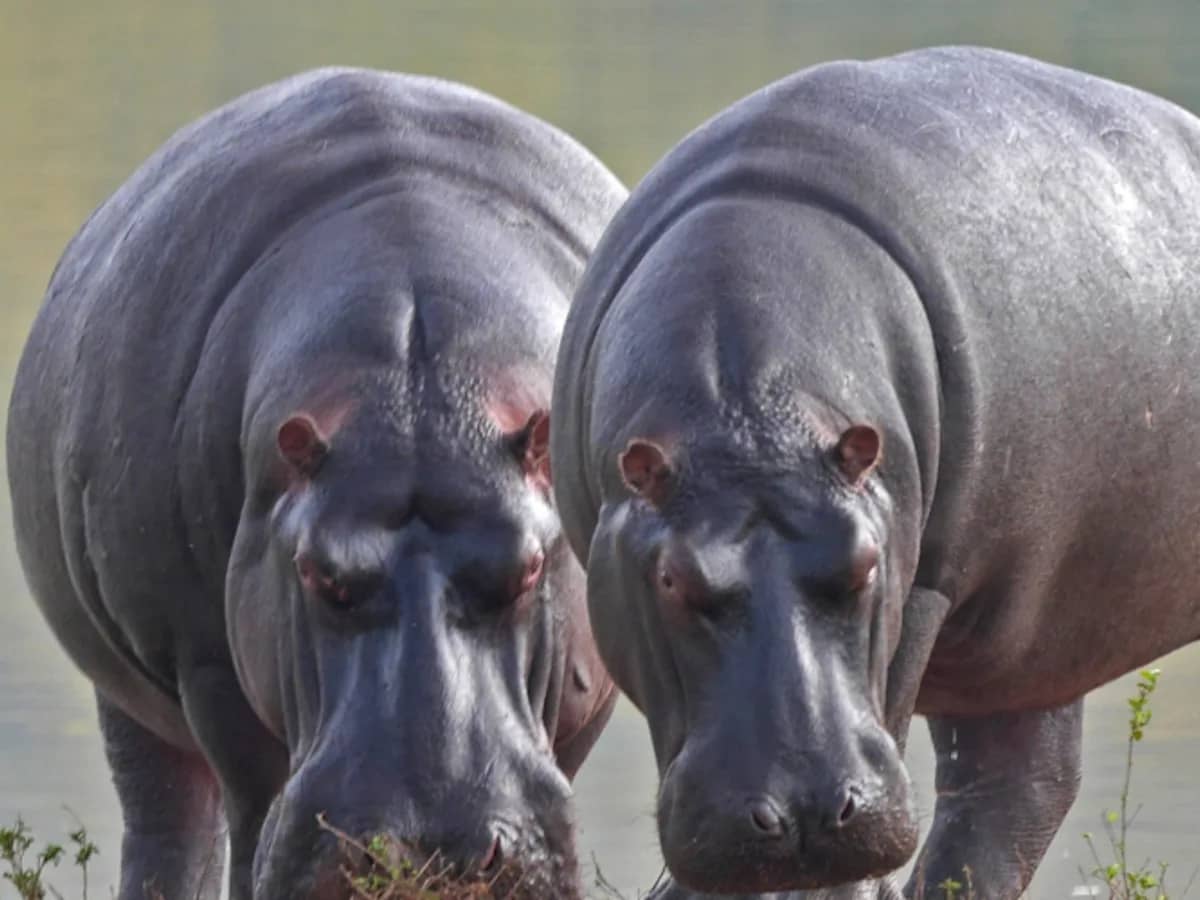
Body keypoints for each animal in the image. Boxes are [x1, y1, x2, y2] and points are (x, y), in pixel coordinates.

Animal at [7, 67, 625, 899]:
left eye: (531, 567)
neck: (418, 393)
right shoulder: (208, 667)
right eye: (314, 571)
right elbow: (255, 805)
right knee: (172, 826)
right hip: (134, 700)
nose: (431, 853)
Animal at [550, 45, 1200, 899]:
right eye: (669, 580)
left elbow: (891, 700)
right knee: (1015, 784)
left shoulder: (921, 583)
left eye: (864, 563)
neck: (750, 416)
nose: (805, 817)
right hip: (1025, 633)